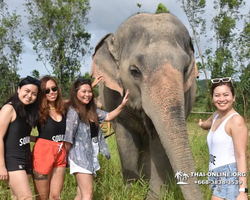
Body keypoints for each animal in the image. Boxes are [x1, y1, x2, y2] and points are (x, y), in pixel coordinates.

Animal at [91, 12, 203, 200]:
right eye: (135, 71)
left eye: (186, 69)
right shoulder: (112, 96)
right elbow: (125, 138)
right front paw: (130, 191)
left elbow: (159, 142)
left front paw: (154, 196)